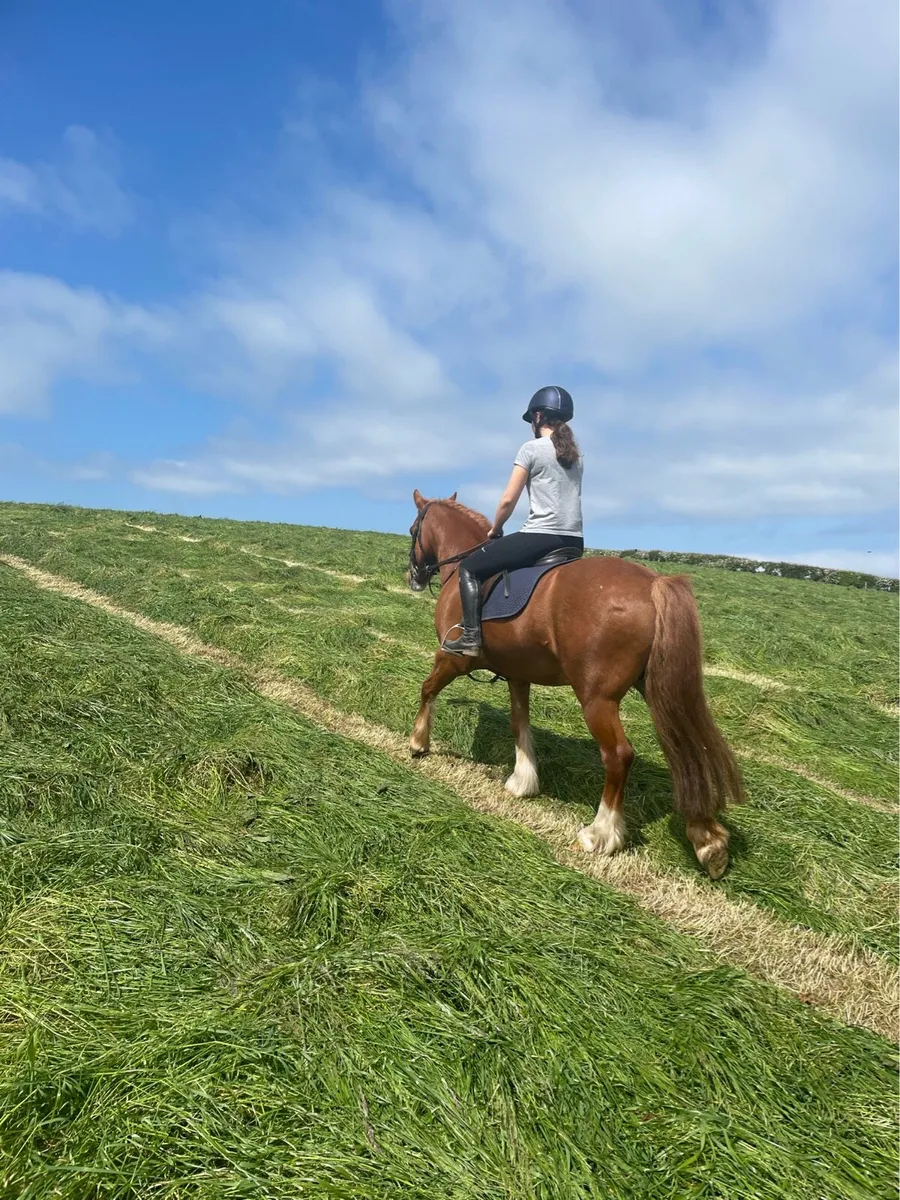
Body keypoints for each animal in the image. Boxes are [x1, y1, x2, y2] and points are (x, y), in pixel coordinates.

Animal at [406, 490, 745, 879]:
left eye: (413, 530)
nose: (413, 576)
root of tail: (653, 583)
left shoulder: (453, 659)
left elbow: (427, 689)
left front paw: (418, 742)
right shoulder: (518, 674)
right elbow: (519, 724)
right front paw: (523, 781)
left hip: (597, 699)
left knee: (619, 756)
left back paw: (600, 833)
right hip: (660, 690)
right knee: (686, 750)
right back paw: (708, 840)